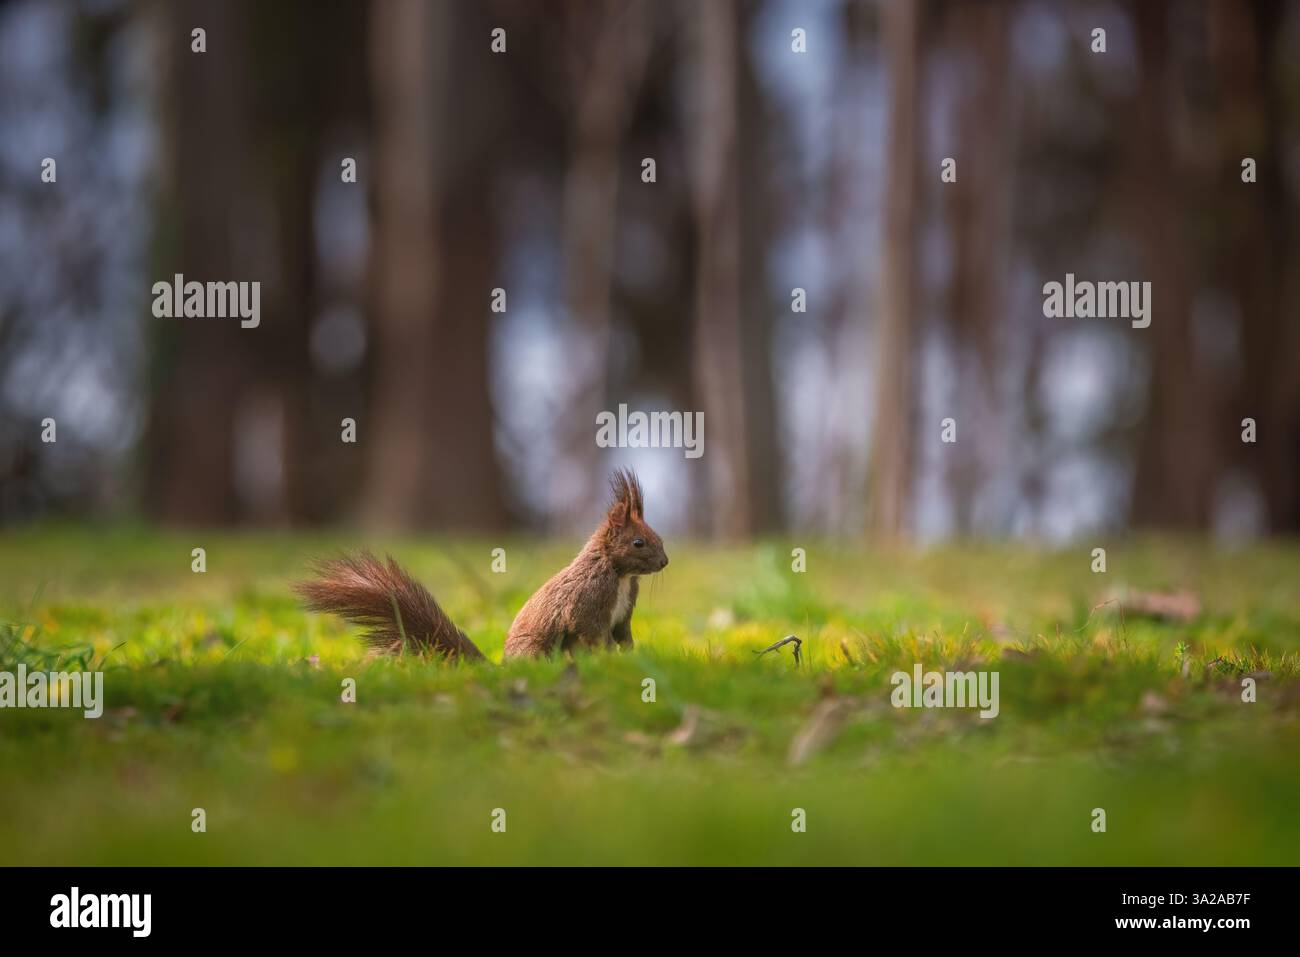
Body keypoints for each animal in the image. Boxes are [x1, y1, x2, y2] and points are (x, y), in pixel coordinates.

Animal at [294, 469, 668, 660]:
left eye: (658, 537)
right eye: (638, 542)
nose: (665, 562)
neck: (620, 574)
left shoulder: (623, 610)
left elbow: (622, 632)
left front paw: (631, 655)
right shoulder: (587, 601)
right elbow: (592, 630)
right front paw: (614, 657)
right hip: (537, 649)